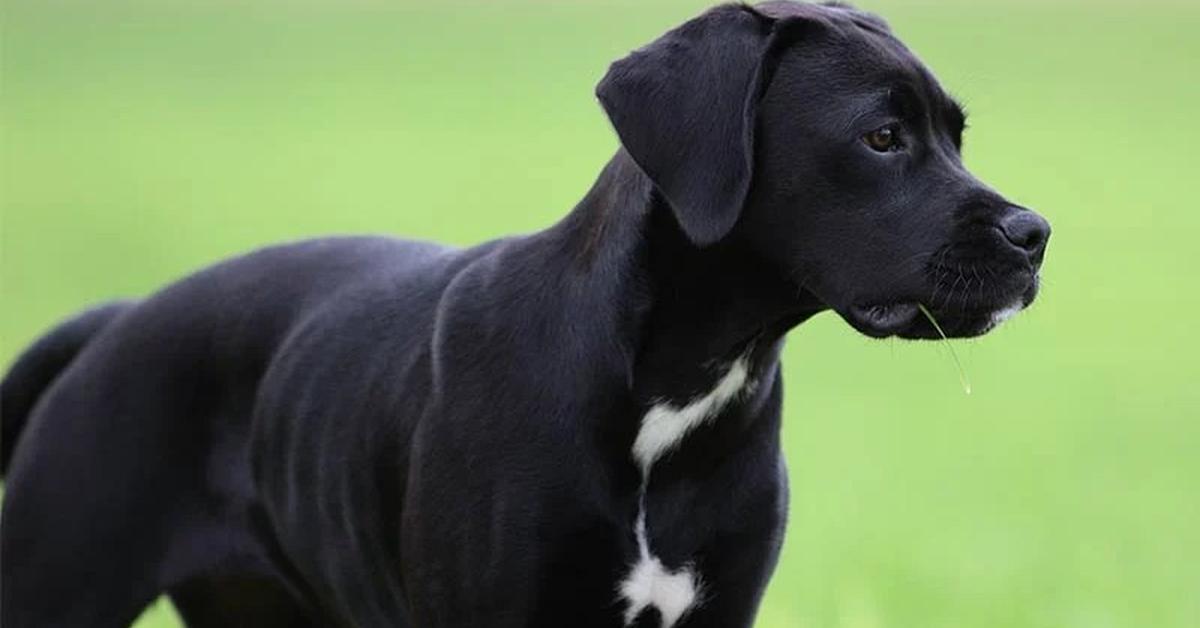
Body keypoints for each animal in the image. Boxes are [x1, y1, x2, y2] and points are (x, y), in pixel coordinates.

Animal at [2, 2, 1051, 624]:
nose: (1036, 233)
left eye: (955, 136)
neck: (677, 386)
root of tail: (119, 319)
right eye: (881, 137)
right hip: (60, 581)